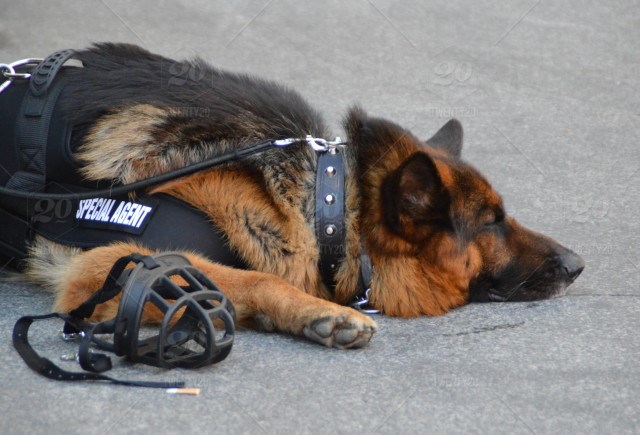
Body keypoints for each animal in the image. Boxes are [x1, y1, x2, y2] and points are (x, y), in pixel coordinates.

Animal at [22, 43, 584, 350]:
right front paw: (319, 315)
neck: (326, 206)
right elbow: (248, 277)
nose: (578, 264)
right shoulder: (105, 266)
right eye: (491, 222)